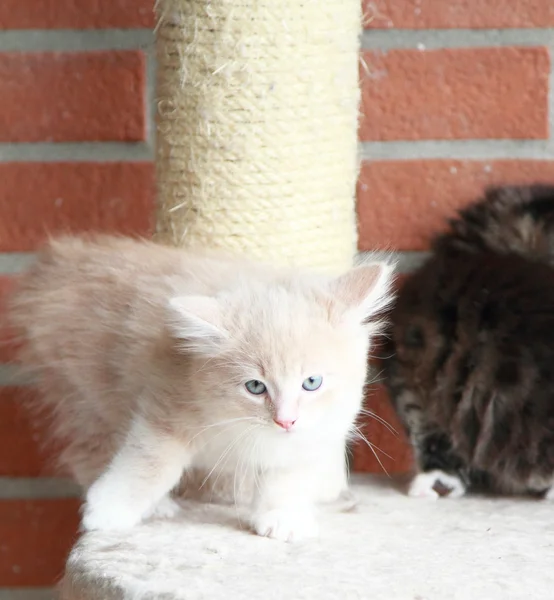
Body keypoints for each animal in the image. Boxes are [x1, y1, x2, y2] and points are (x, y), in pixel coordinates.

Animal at [11, 237, 392, 540]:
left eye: (312, 382)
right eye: (255, 387)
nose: (286, 420)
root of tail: (61, 261)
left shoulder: (313, 435)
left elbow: (286, 476)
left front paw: (281, 517)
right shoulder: (164, 412)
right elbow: (150, 465)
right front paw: (109, 509)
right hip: (90, 394)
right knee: (85, 452)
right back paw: (154, 505)